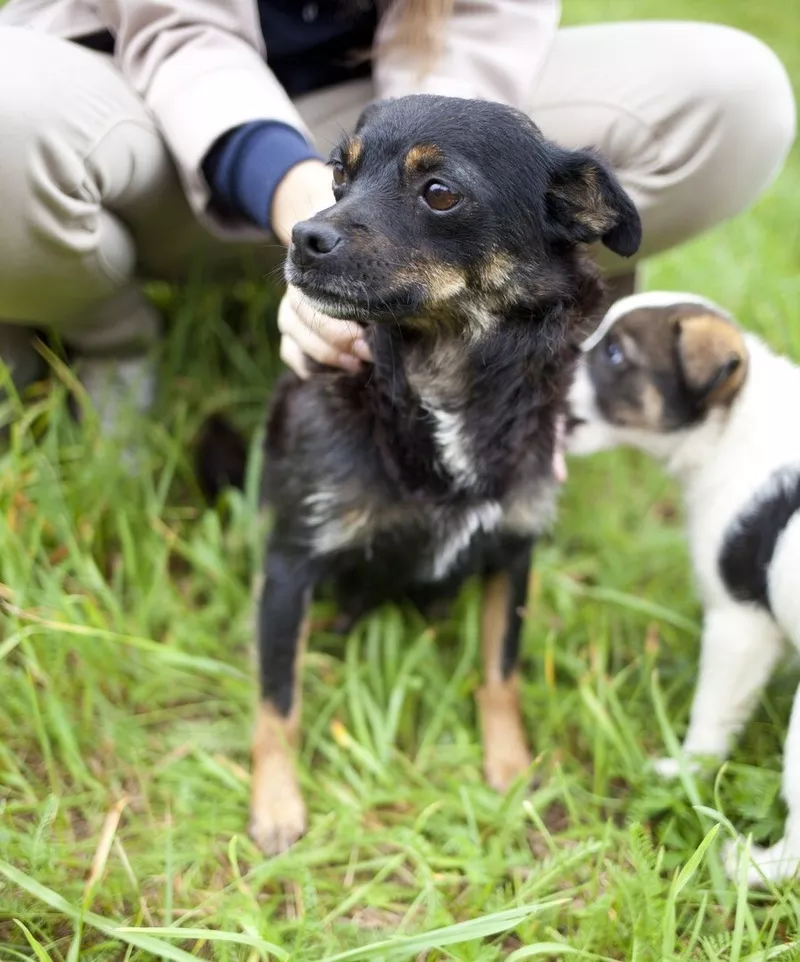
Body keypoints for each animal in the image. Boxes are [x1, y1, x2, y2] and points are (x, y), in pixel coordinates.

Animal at [200, 94, 644, 852]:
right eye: (338, 176)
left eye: (439, 192)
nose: (303, 236)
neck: (443, 382)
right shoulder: (291, 560)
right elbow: (277, 701)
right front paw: (277, 805)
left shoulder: (513, 550)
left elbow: (501, 673)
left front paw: (511, 771)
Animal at [568, 290, 800, 884]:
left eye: (615, 355)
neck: (732, 425)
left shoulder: (739, 626)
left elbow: (711, 715)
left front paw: (685, 768)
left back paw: (753, 867)